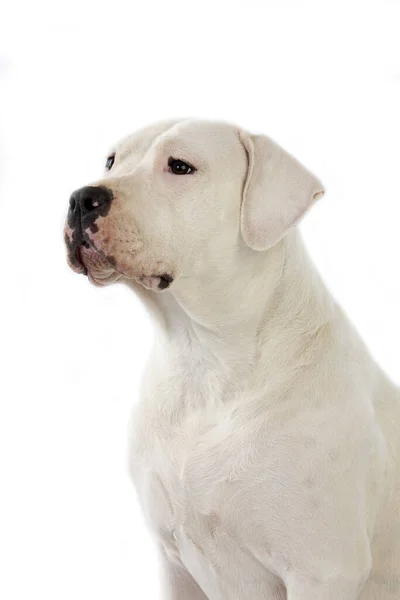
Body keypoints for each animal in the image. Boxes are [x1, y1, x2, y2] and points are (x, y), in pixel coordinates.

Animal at [64, 119, 398, 596]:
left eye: (180, 166)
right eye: (111, 160)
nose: (81, 198)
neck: (203, 362)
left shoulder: (322, 570)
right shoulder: (174, 564)